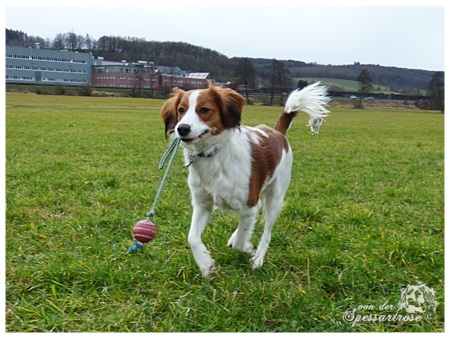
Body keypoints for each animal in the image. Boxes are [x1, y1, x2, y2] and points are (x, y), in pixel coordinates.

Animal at [160, 82, 328, 278]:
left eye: (204, 110)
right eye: (181, 109)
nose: (182, 128)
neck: (214, 155)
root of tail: (276, 132)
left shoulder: (249, 206)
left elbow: (241, 242)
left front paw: (248, 248)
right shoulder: (202, 204)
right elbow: (192, 237)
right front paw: (205, 264)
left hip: (275, 198)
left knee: (267, 232)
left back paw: (258, 259)